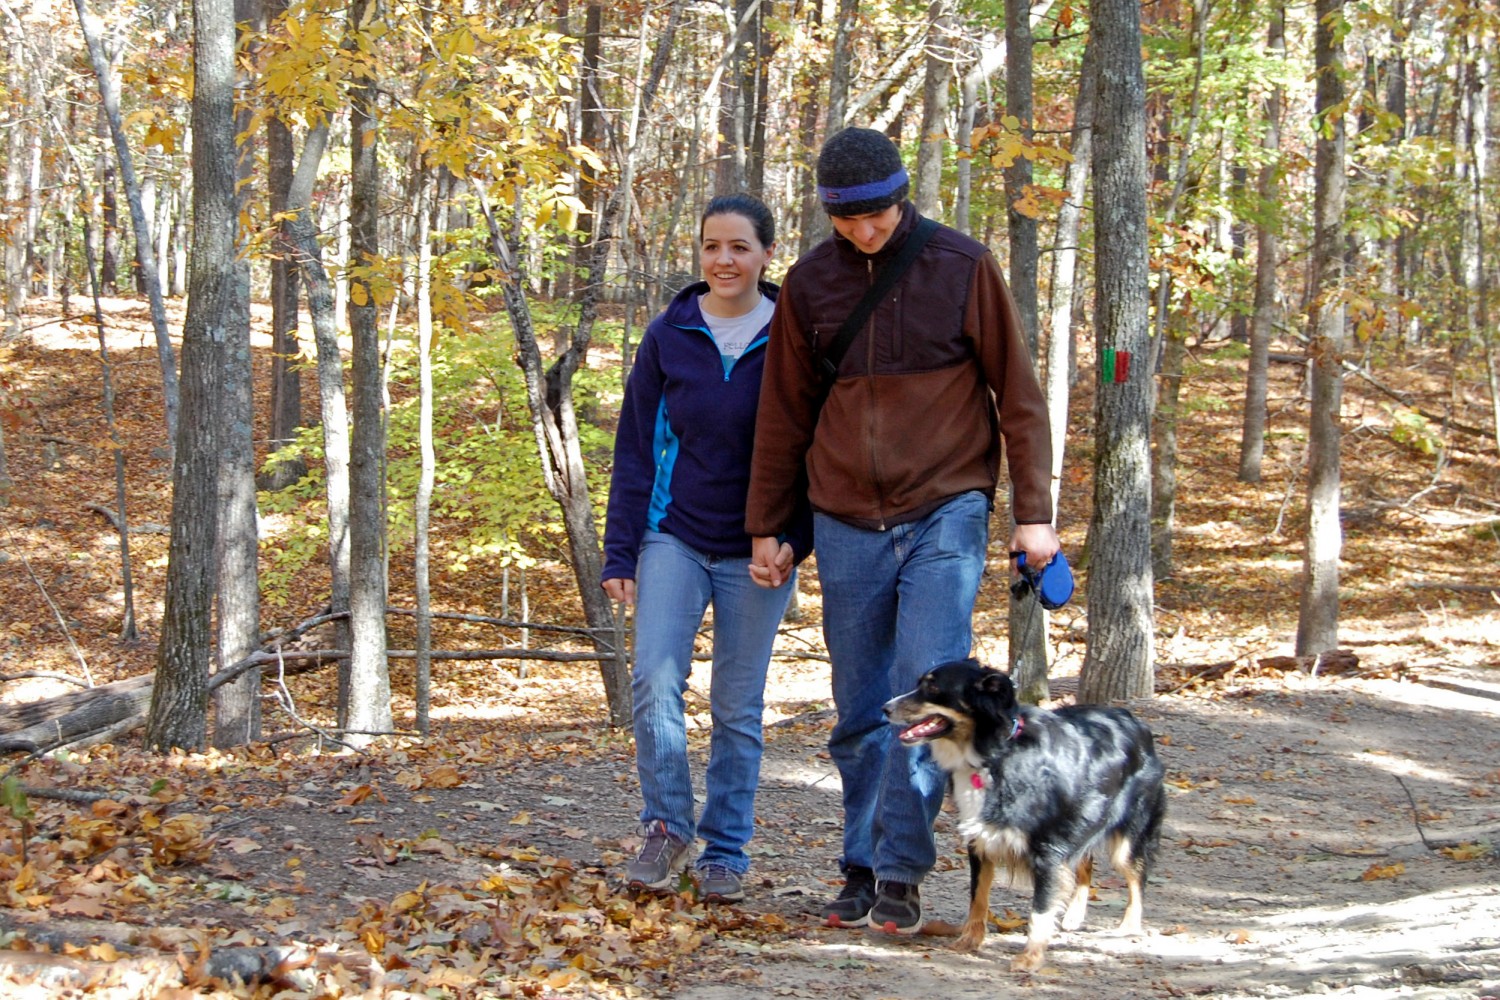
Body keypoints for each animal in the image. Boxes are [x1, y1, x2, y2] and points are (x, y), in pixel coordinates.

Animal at [882, 656, 1164, 971]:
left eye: (932, 687)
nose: (885, 708)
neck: (993, 755)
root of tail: (1132, 718)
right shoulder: (980, 841)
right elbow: (978, 897)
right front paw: (969, 941)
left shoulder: (1048, 849)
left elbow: (1040, 909)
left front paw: (1031, 957)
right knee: (1085, 863)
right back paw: (1074, 915)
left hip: (1127, 837)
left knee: (1137, 878)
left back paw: (1129, 926)